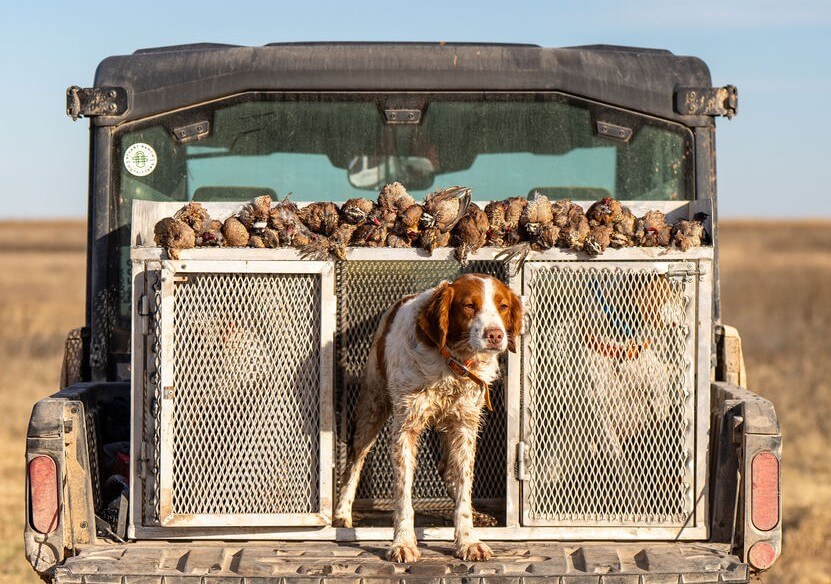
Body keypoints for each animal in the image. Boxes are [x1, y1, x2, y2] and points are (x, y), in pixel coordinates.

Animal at [333, 273, 522, 563]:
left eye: (503, 306)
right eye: (469, 306)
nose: (495, 335)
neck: (453, 363)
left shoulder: (464, 426)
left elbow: (464, 488)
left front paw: (468, 540)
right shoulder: (405, 428)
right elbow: (403, 495)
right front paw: (402, 542)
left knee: (447, 469)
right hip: (373, 405)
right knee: (355, 460)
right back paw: (342, 513)